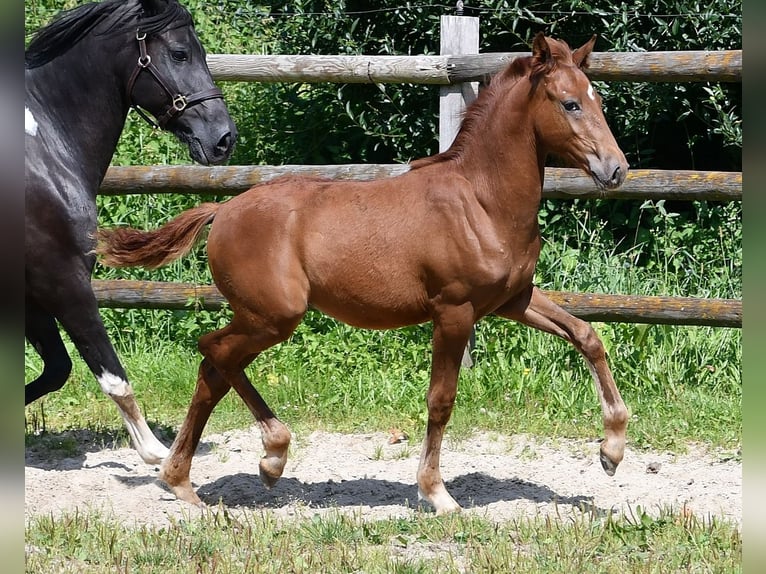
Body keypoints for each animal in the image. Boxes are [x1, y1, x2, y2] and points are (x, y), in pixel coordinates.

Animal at [25, 0, 236, 466]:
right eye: (179, 53)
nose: (224, 138)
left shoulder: (30, 294)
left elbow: (55, 371)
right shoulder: (63, 280)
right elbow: (112, 376)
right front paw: (155, 452)